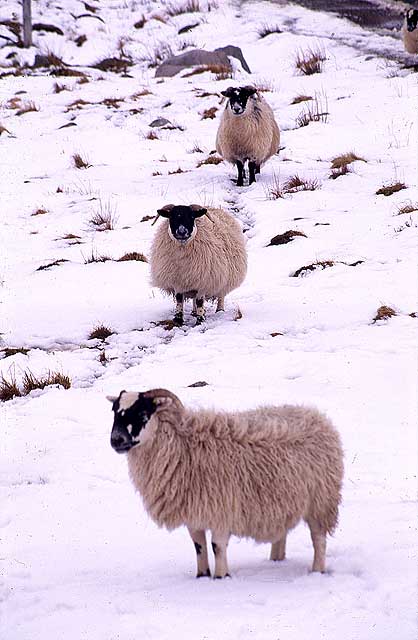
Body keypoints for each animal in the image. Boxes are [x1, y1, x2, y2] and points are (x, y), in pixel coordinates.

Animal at [109, 388, 344, 576]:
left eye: (141, 413)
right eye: (114, 412)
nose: (116, 440)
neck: (183, 447)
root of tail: (316, 416)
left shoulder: (221, 510)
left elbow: (217, 547)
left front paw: (221, 578)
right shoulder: (194, 513)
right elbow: (199, 547)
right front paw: (202, 576)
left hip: (320, 501)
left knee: (318, 539)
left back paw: (317, 571)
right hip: (283, 501)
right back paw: (275, 561)